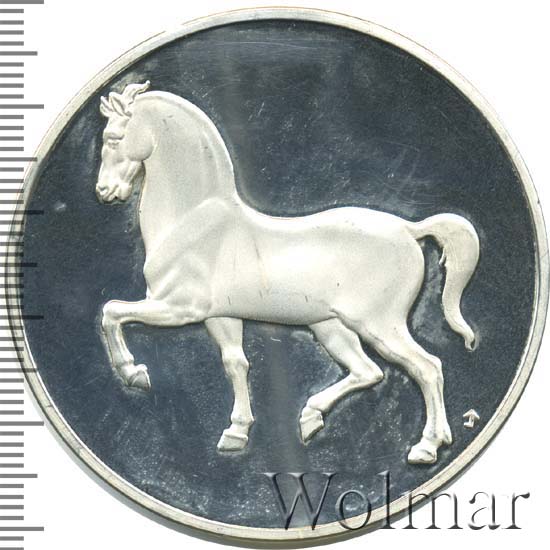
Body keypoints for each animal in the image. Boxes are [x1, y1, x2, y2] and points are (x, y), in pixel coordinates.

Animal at [96, 81, 479, 465]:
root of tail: (408, 229)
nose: (105, 192)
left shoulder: (178, 308)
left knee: (427, 367)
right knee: (368, 371)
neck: (193, 221)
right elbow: (236, 364)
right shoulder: (220, 317)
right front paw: (236, 433)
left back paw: (426, 447)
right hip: (330, 328)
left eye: (114, 137)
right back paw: (311, 417)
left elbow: (112, 311)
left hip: (378, 324)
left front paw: (134, 373)